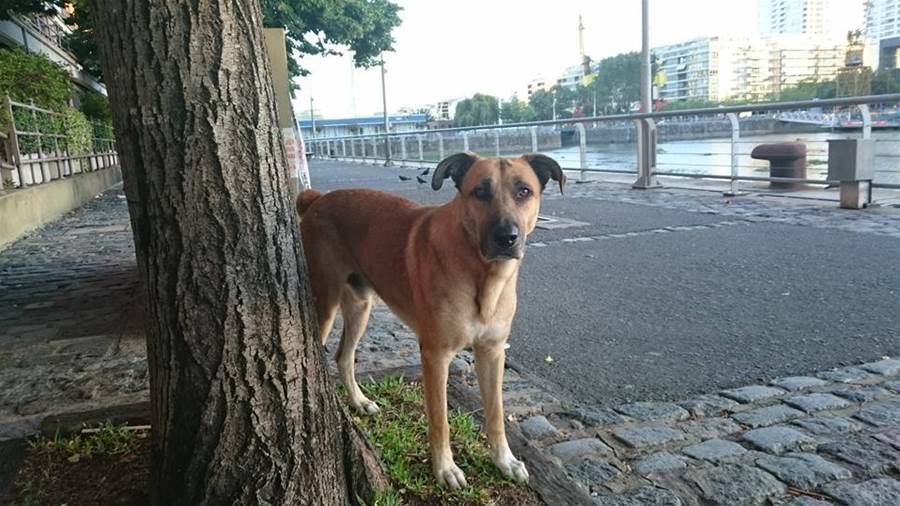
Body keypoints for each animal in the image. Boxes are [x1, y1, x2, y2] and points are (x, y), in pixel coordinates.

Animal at [298, 152, 564, 488]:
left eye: (524, 191)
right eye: (480, 191)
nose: (507, 237)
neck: (482, 275)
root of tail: (317, 199)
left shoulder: (492, 352)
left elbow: (496, 414)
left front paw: (504, 460)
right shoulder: (436, 356)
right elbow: (440, 420)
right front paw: (445, 469)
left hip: (360, 305)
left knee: (343, 357)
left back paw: (359, 401)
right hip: (324, 305)